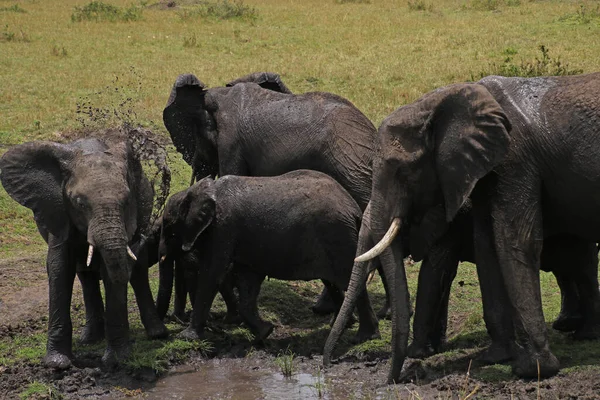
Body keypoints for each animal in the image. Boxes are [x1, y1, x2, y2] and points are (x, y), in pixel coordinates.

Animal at [0, 135, 169, 368]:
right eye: (79, 203)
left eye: (127, 201)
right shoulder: (58, 212)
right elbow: (59, 268)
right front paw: (57, 363)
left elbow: (110, 269)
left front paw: (116, 361)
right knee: (85, 275)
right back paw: (90, 339)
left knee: (137, 271)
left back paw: (156, 334)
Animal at [158, 170, 380, 342]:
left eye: (169, 229)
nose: (168, 331)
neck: (196, 191)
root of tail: (353, 208)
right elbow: (248, 280)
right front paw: (265, 333)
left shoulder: (223, 228)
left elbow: (212, 273)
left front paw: (187, 337)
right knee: (333, 282)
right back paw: (343, 325)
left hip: (337, 234)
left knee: (348, 279)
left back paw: (364, 336)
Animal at [326, 73, 600, 382]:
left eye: (401, 170)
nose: (392, 380)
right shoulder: (479, 170)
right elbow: (486, 244)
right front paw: (495, 357)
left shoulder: (515, 159)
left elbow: (513, 241)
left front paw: (533, 369)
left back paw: (584, 335)